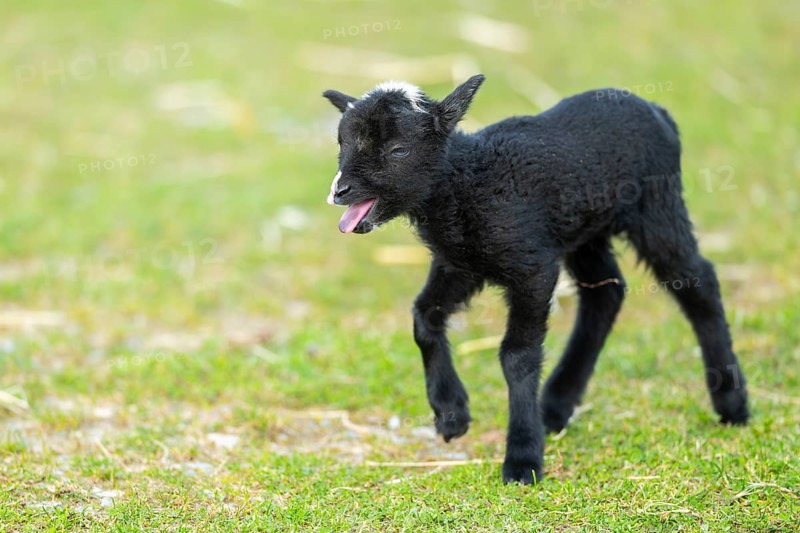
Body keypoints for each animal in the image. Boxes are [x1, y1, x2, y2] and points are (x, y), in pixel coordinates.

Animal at [322, 75, 749, 484]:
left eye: (398, 150)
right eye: (343, 143)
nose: (340, 191)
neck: (468, 182)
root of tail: (658, 110)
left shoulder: (532, 267)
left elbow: (517, 356)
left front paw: (522, 459)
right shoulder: (459, 264)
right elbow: (424, 317)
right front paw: (451, 415)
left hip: (656, 207)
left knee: (698, 282)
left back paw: (732, 403)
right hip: (584, 230)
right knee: (606, 292)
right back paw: (556, 405)